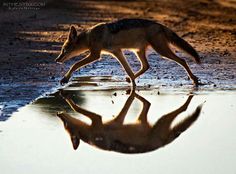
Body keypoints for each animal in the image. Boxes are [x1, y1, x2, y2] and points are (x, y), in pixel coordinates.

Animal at [55, 18, 201, 87]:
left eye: (64, 50)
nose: (57, 60)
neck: (90, 36)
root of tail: (160, 25)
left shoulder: (96, 55)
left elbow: (74, 65)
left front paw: (65, 78)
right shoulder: (117, 52)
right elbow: (128, 70)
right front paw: (133, 86)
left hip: (161, 51)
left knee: (182, 60)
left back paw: (194, 79)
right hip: (139, 52)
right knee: (146, 66)